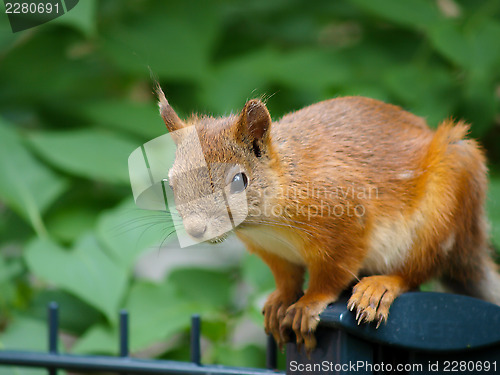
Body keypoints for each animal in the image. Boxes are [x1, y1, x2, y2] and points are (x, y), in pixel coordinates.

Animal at [157, 87, 500, 352]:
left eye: (239, 181)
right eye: (171, 184)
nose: (196, 229)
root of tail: (470, 242)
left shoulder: (346, 222)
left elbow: (332, 274)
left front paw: (308, 304)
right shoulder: (272, 251)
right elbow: (286, 277)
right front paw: (281, 300)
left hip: (443, 209)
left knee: (415, 271)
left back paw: (380, 288)